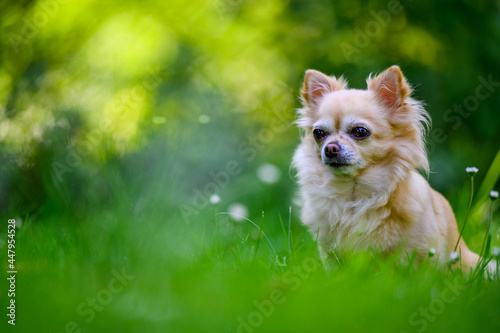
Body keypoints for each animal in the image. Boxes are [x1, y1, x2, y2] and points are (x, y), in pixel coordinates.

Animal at [292, 65, 482, 272]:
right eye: (318, 133)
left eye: (360, 131)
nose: (330, 148)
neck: (354, 196)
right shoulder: (330, 253)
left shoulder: (419, 251)